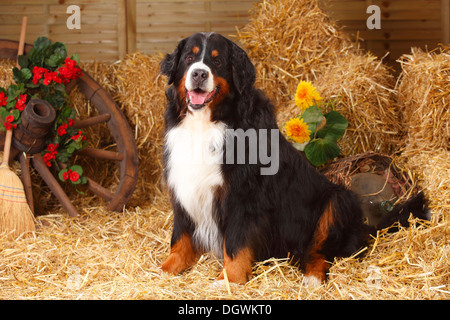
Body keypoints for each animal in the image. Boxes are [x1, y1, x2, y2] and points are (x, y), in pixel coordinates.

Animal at [161, 32, 426, 284]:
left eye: (216, 61)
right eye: (189, 58)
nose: (198, 74)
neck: (206, 123)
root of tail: (365, 227)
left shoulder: (241, 196)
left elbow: (235, 244)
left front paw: (229, 279)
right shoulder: (184, 187)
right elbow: (180, 237)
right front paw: (166, 269)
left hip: (336, 200)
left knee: (320, 253)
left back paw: (312, 278)